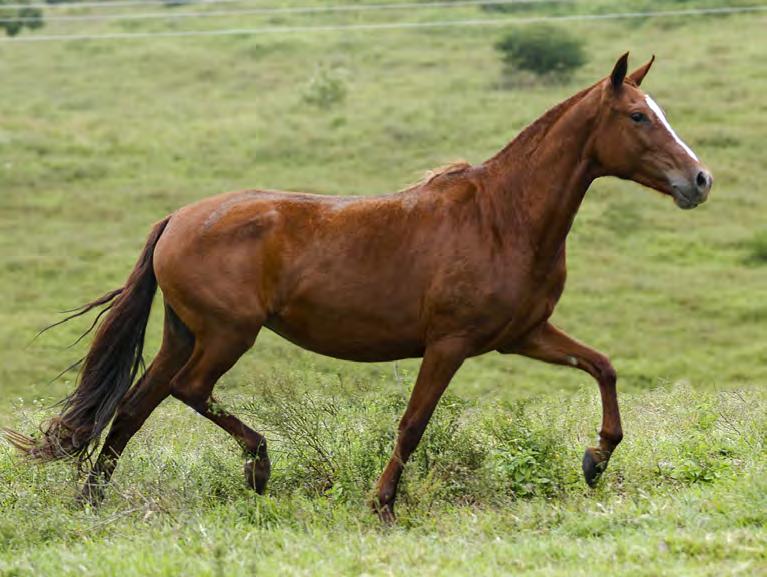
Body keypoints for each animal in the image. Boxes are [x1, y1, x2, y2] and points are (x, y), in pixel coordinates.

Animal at [4, 55, 712, 520]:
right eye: (638, 117)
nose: (699, 181)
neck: (503, 216)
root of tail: (177, 219)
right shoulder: (450, 344)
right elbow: (413, 423)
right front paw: (382, 505)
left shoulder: (524, 335)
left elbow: (603, 366)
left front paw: (597, 458)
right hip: (228, 335)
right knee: (188, 392)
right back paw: (259, 465)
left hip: (184, 334)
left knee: (131, 410)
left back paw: (91, 500)